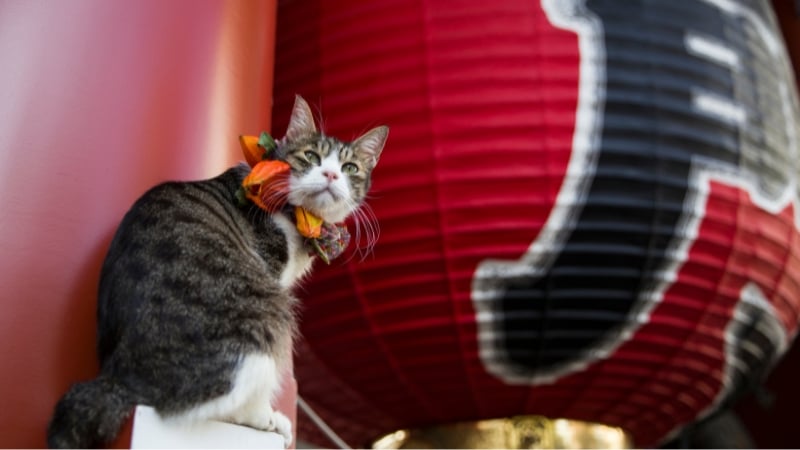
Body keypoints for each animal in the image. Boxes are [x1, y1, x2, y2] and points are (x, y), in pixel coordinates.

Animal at [47, 95, 390, 446]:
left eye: (350, 168)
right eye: (311, 156)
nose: (332, 175)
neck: (301, 218)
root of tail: (121, 377)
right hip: (270, 314)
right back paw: (268, 418)